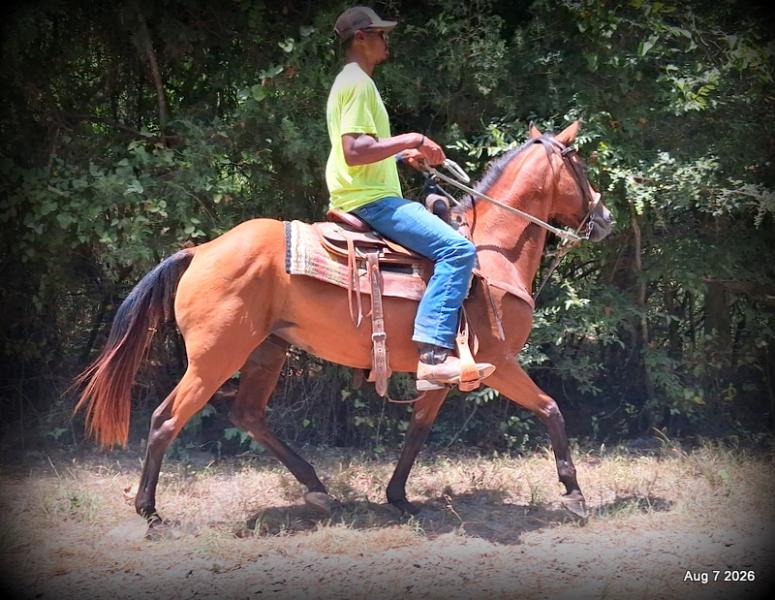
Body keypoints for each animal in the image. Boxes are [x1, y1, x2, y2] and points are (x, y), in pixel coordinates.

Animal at [74, 120, 614, 531]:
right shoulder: (498, 363)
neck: (491, 250)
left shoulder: (444, 370)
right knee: (166, 419)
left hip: (266, 351)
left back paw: (317, 490)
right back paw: (150, 512)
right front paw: (573, 494)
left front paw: (398, 496)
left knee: (248, 415)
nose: (605, 218)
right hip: (214, 360)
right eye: (581, 167)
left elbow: (418, 429)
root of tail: (201, 250)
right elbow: (550, 409)